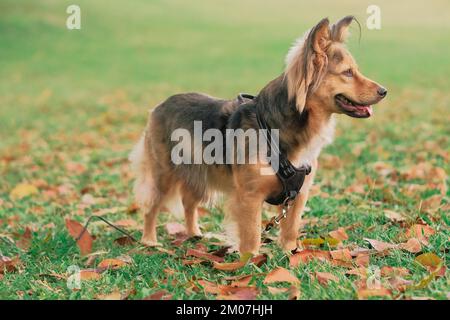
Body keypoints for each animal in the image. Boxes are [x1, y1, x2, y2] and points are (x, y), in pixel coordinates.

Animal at [130, 15, 386, 255]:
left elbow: (291, 228)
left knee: (189, 202)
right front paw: (251, 260)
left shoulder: (298, 194)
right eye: (348, 73)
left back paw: (194, 233)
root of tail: (161, 105)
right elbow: (252, 233)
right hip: (164, 174)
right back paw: (149, 239)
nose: (384, 91)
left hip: (199, 174)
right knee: (152, 206)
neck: (276, 131)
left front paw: (290, 254)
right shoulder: (250, 197)